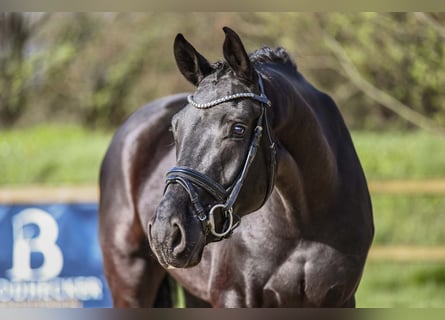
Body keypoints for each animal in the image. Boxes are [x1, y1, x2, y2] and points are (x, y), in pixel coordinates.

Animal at [99, 27, 372, 308]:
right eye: (175, 128)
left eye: (238, 128)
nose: (165, 232)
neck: (303, 224)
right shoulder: (233, 297)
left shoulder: (340, 299)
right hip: (130, 282)